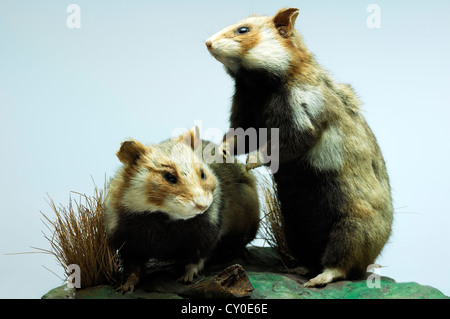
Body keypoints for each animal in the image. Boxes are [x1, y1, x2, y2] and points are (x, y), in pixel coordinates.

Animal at [103, 127, 260, 292]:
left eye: (202, 173)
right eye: (169, 176)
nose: (202, 205)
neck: (165, 220)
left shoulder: (205, 234)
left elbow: (195, 260)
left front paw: (186, 278)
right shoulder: (128, 242)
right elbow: (132, 268)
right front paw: (125, 287)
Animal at [206, 8, 392, 288]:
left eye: (243, 30)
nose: (207, 42)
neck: (261, 87)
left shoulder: (303, 119)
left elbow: (279, 146)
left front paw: (250, 162)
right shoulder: (245, 114)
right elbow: (237, 139)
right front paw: (222, 151)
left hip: (351, 229)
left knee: (340, 266)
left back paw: (317, 279)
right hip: (296, 230)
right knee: (313, 258)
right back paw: (302, 269)